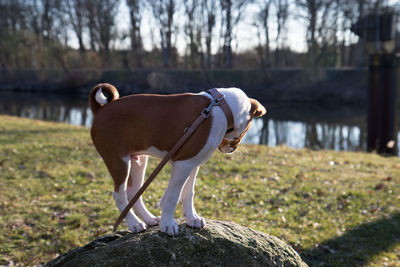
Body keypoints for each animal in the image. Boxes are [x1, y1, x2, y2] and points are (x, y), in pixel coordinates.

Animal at [89, 84, 268, 237]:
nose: (232, 149)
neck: (222, 108)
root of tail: (101, 109)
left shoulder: (192, 163)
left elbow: (188, 193)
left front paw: (192, 218)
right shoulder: (183, 164)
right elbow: (172, 197)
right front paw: (168, 224)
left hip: (138, 161)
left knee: (133, 192)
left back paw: (148, 219)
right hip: (118, 161)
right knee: (119, 195)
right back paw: (134, 223)